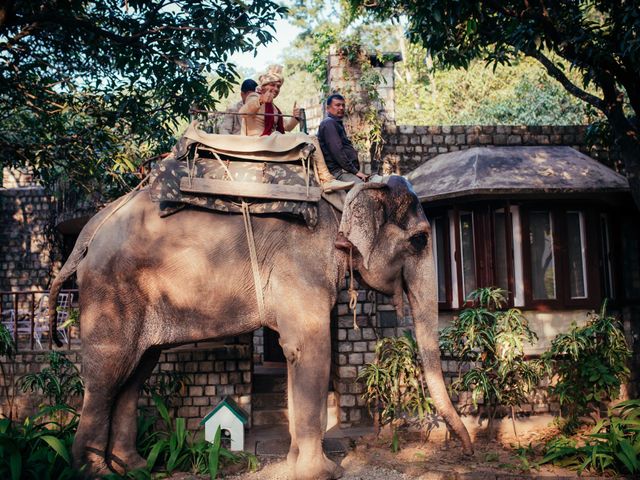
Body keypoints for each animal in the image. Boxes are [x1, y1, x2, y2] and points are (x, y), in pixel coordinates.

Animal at [48, 174, 470, 478]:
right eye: (421, 239)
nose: (463, 446)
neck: (346, 193)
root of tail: (92, 229)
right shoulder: (302, 266)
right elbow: (311, 351)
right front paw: (322, 473)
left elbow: (293, 354)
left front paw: (294, 463)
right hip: (111, 292)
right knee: (107, 375)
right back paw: (97, 472)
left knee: (136, 374)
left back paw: (134, 468)